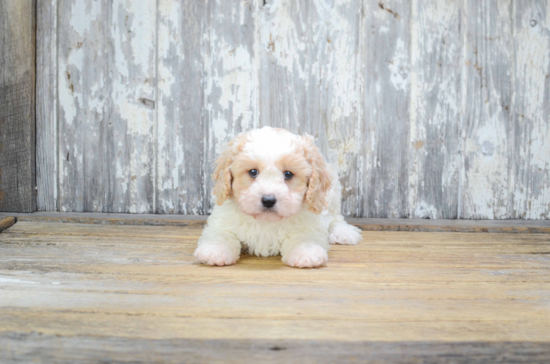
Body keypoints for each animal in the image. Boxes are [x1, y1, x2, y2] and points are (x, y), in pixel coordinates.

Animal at [194, 127, 362, 268]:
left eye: (288, 174)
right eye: (253, 172)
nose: (268, 200)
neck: (266, 222)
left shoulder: (310, 224)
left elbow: (304, 237)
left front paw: (306, 253)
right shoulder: (222, 222)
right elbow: (220, 234)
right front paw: (214, 251)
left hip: (332, 196)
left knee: (335, 218)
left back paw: (343, 233)